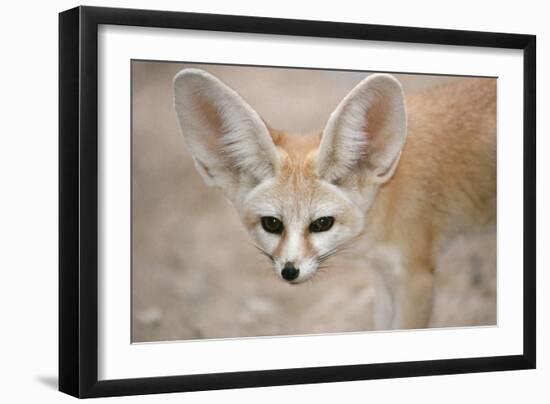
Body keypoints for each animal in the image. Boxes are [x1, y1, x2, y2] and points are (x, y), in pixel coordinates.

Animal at [172, 68, 496, 328]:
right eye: (272, 224)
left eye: (322, 223)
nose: (289, 271)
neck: (389, 194)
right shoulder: (384, 273)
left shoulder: (416, 275)